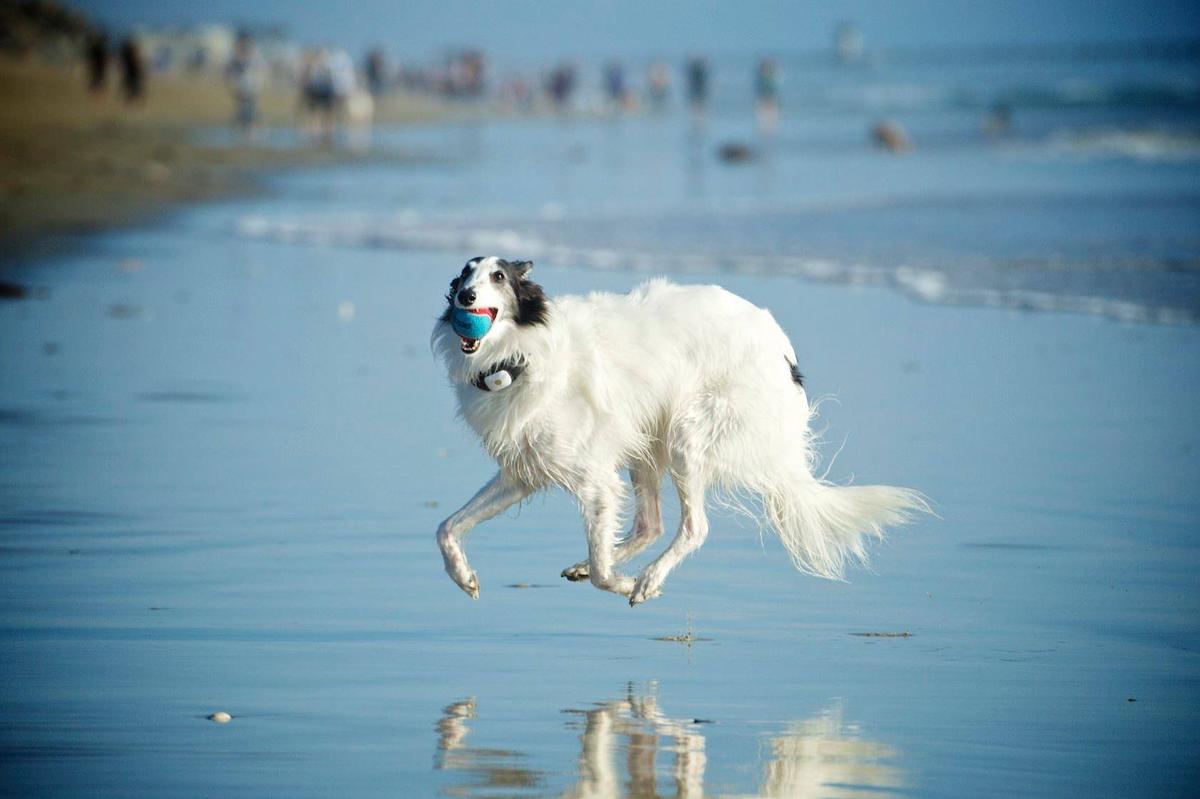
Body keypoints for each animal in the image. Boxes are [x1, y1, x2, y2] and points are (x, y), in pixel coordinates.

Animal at [432, 255, 926, 604]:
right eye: (464, 274)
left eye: (499, 277)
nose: (465, 298)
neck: (520, 357)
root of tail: (785, 355)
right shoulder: (523, 473)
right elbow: (446, 527)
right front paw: (465, 578)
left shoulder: (595, 481)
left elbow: (604, 574)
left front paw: (625, 581)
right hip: (647, 441)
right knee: (651, 524)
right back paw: (596, 566)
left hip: (688, 434)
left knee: (694, 527)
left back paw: (647, 578)